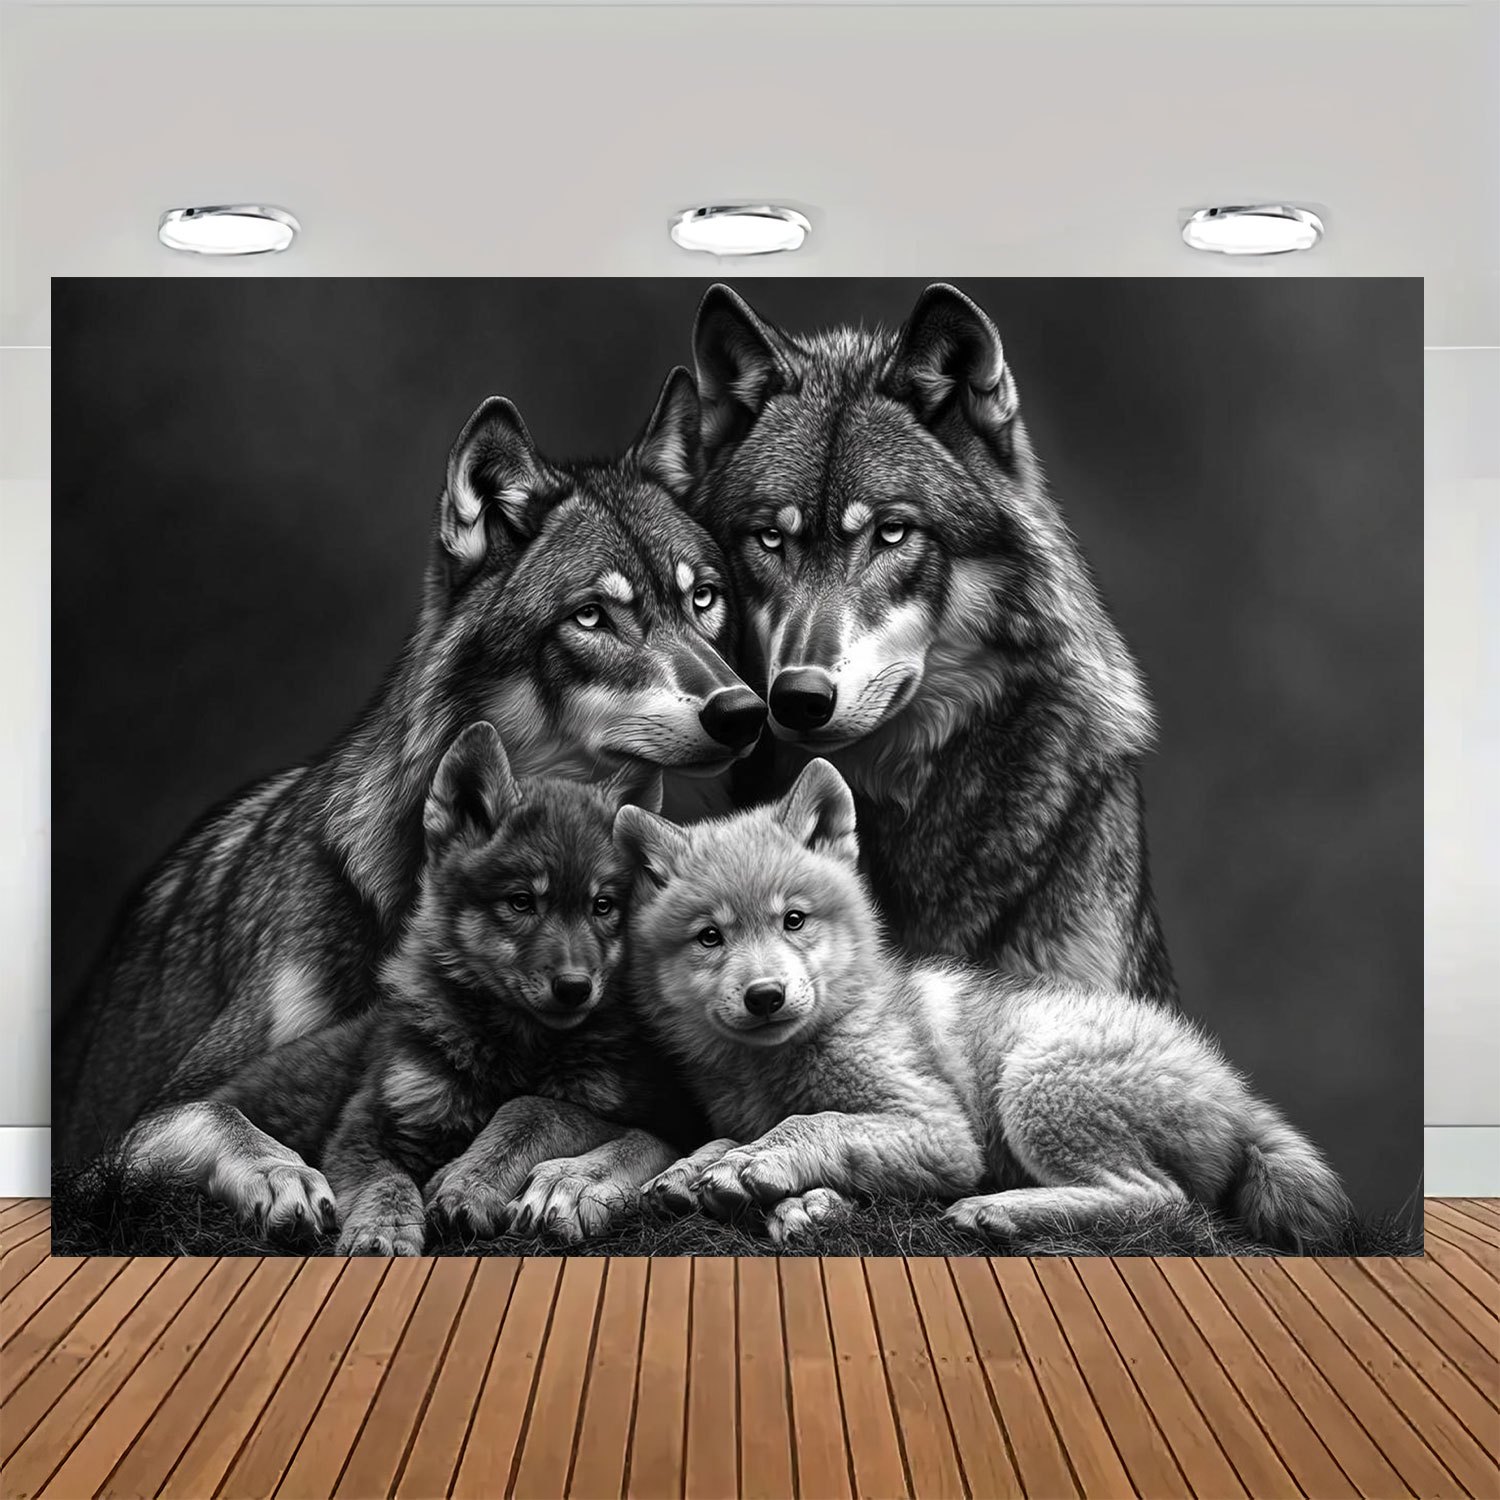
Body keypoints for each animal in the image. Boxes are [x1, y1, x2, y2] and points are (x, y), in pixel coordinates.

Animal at [131, 723, 695, 1249]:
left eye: (603, 906)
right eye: (521, 902)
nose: (575, 987)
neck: (513, 1054)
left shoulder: (634, 1114)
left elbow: (535, 1109)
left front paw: (470, 1181)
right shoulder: (362, 1132)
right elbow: (389, 1183)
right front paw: (383, 1232)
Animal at [616, 759, 1351, 1252]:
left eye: (793, 920)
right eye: (710, 937)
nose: (765, 997)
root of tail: (1235, 1092)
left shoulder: (942, 1133)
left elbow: (814, 1123)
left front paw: (759, 1167)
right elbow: (725, 1138)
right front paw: (699, 1171)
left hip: (1034, 1084)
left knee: (1163, 1202)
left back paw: (999, 1211)